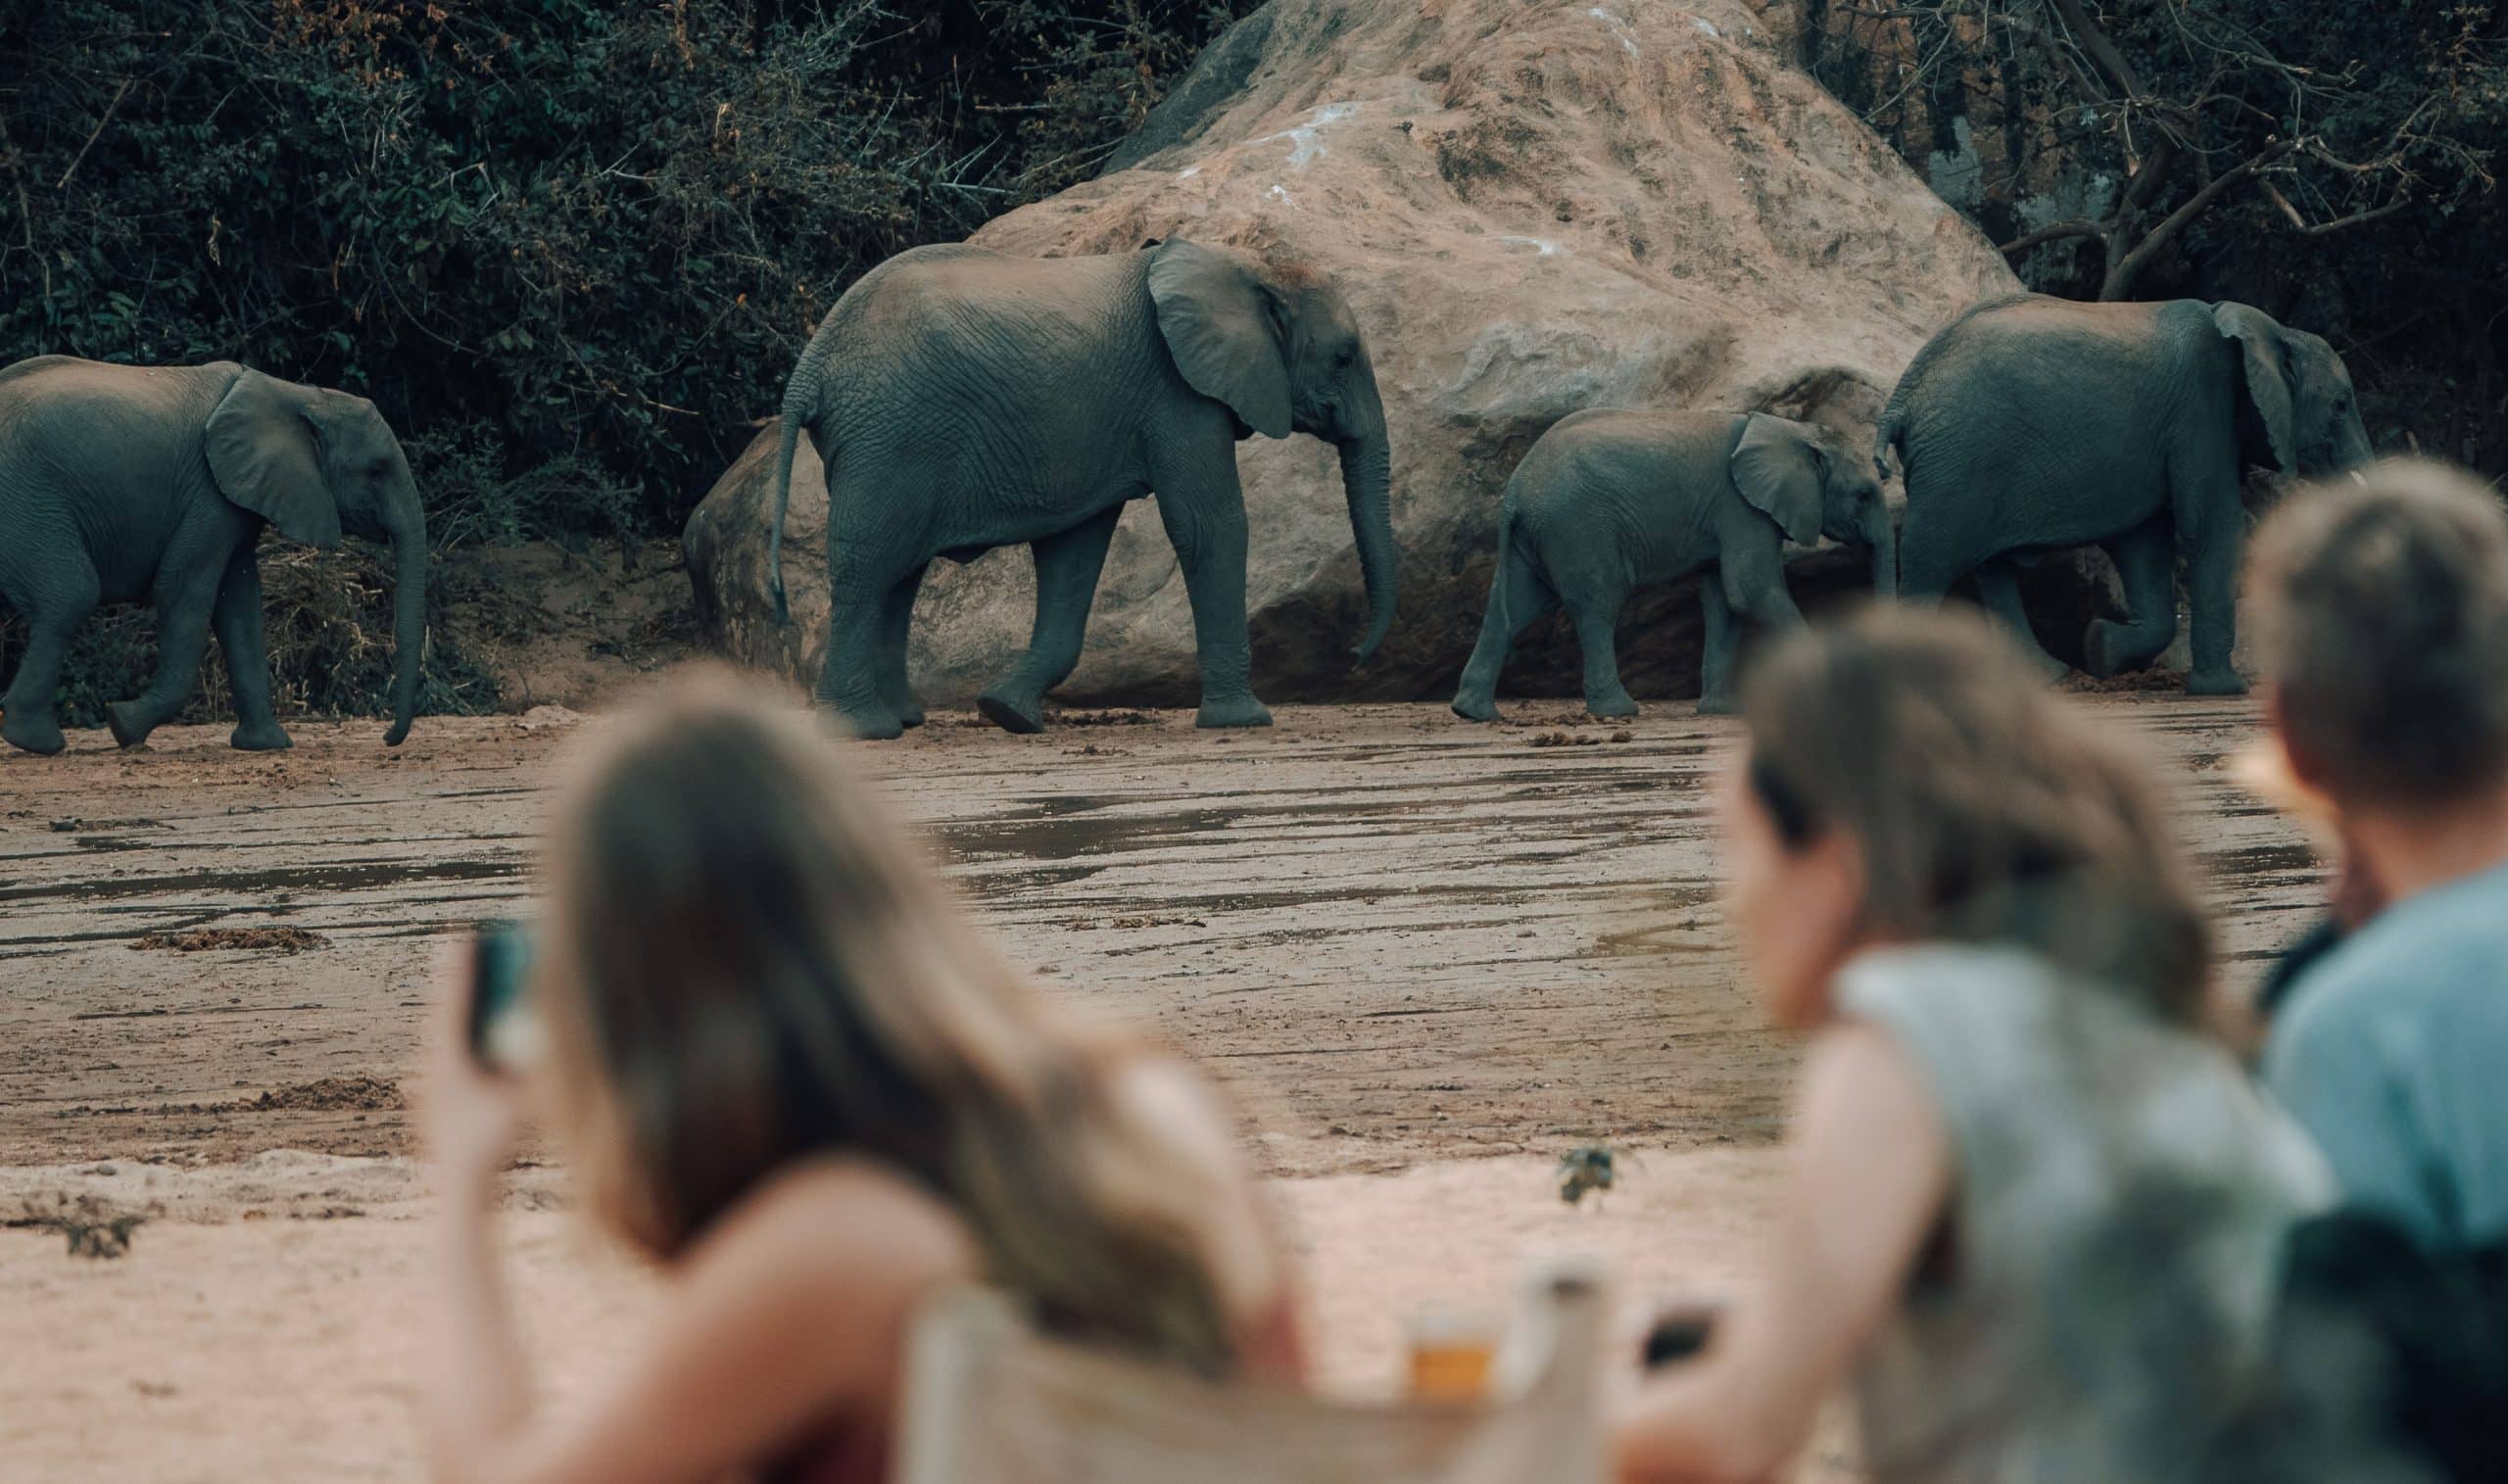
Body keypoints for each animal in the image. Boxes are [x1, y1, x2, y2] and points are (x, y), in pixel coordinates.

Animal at [0, 357, 428, 755]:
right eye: (376, 470)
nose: (387, 739)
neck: (296, 393)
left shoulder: (234, 498)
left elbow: (239, 604)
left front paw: (265, 745)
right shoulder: (208, 494)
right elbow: (183, 592)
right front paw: (123, 725)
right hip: (27, 498)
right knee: (72, 594)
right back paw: (37, 742)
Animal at [765, 238, 1397, 739]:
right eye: (1343, 358)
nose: (1354, 657)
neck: (1249, 263)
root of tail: (810, 365)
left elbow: (1075, 552)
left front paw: (1007, 713)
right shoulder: (1176, 393)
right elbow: (1209, 526)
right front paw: (1244, 722)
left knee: (901, 572)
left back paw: (905, 720)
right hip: (890, 436)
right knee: (870, 563)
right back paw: (864, 731)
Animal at [1450, 409, 1894, 721]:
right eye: (1864, 494)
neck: (1792, 430)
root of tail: (1514, 491)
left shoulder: (1728, 514)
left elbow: (1725, 602)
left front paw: (1721, 712)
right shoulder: (1740, 507)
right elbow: (1750, 591)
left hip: (1543, 533)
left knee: (1513, 608)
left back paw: (1473, 713)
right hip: (1578, 528)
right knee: (1598, 607)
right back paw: (1619, 712)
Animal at [1879, 295, 2372, 694]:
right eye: (2340, 405)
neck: (2271, 328)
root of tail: (1900, 401)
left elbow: (2145, 545)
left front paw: (2099, 647)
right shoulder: (2201, 411)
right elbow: (2210, 527)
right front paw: (2225, 691)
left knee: (1992, 570)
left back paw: (2050, 677)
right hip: (1957, 464)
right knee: (1931, 562)